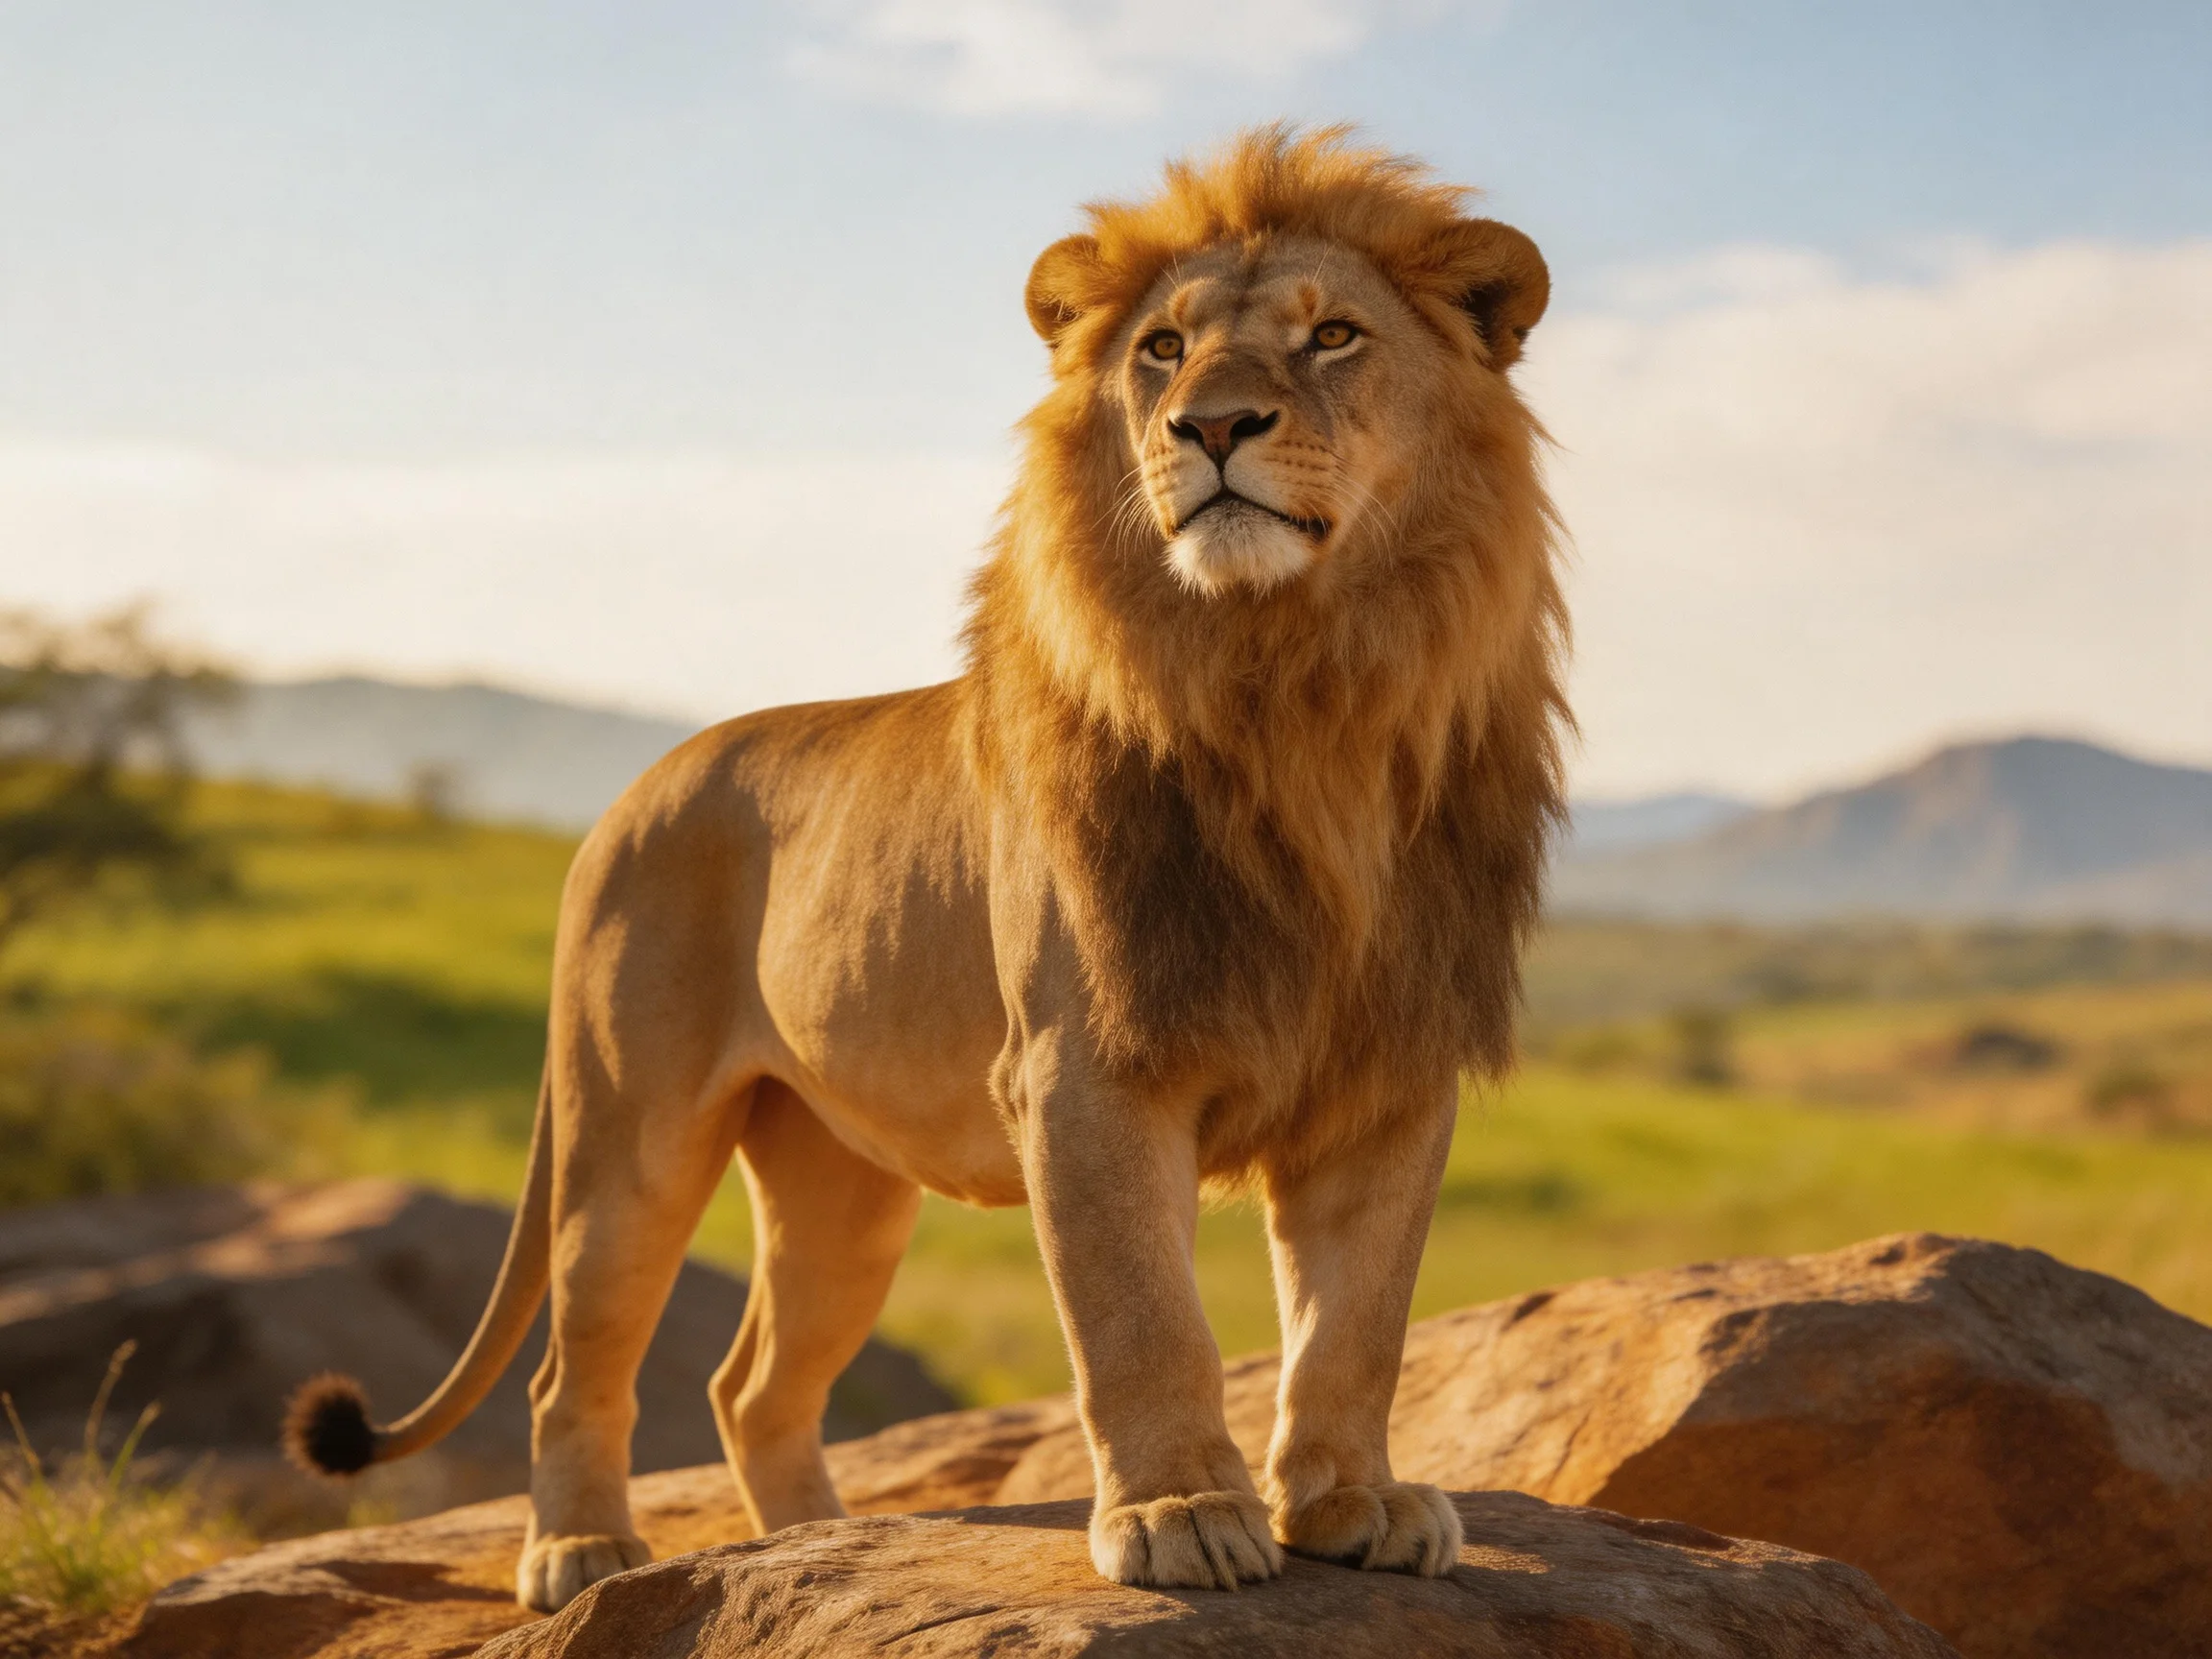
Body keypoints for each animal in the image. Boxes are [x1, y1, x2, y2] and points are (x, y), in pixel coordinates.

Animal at [284, 125, 1569, 1614]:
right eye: (1164, 350)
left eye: (1335, 337)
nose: (1209, 428)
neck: (1300, 696)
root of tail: (633, 791)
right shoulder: (1084, 1069)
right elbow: (1143, 1316)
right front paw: (1182, 1514)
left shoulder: (1388, 1079)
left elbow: (1354, 1327)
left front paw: (1355, 1504)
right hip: (627, 1136)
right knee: (574, 1367)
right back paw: (584, 1553)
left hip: (841, 1190)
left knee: (751, 1387)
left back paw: (803, 1559)